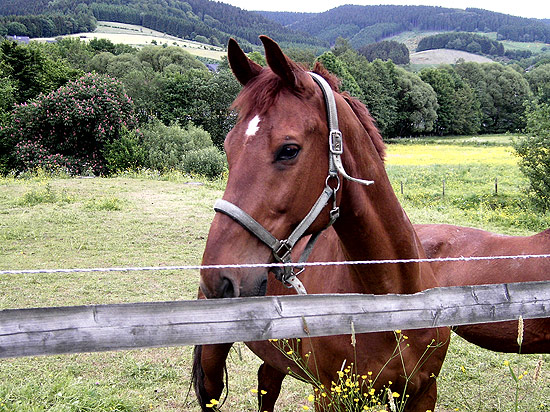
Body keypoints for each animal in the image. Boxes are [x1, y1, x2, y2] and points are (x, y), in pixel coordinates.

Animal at [192, 35, 450, 412]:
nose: (218, 279)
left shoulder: (423, 393)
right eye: (228, 147)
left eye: (288, 150)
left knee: (266, 385)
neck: (391, 298)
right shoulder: (331, 396)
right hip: (213, 359)